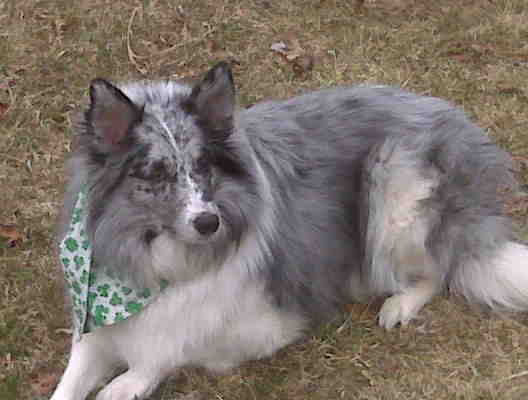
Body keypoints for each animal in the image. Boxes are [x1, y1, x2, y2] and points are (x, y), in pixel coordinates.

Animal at [50, 61, 528, 398]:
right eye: (155, 173)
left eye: (203, 166)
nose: (209, 222)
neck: (161, 263)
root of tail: (454, 119)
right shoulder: (93, 325)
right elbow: (71, 378)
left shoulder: (266, 323)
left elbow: (173, 345)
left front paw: (126, 382)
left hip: (394, 184)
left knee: (439, 268)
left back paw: (399, 305)